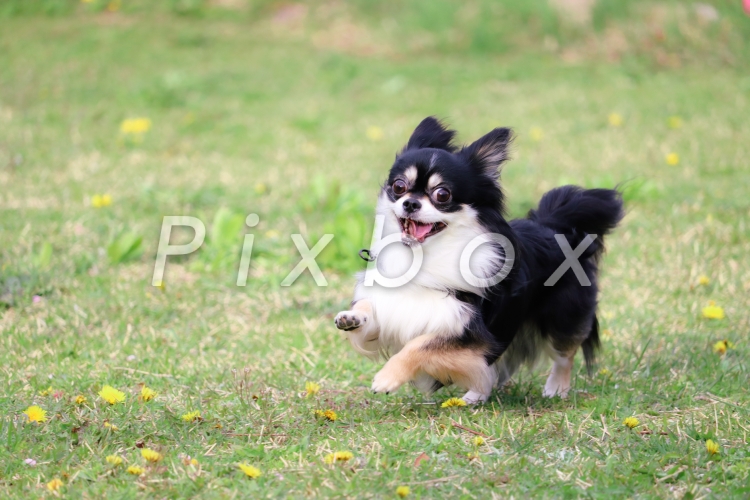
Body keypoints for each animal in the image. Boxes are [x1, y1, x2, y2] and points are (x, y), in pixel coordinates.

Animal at [334, 117, 624, 402]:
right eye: (399, 186)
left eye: (442, 195)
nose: (410, 203)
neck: (424, 256)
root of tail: (552, 225)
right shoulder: (397, 309)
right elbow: (370, 308)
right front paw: (352, 317)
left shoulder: (468, 330)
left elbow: (419, 346)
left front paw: (387, 377)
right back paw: (475, 396)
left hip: (562, 315)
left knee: (564, 353)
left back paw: (556, 389)